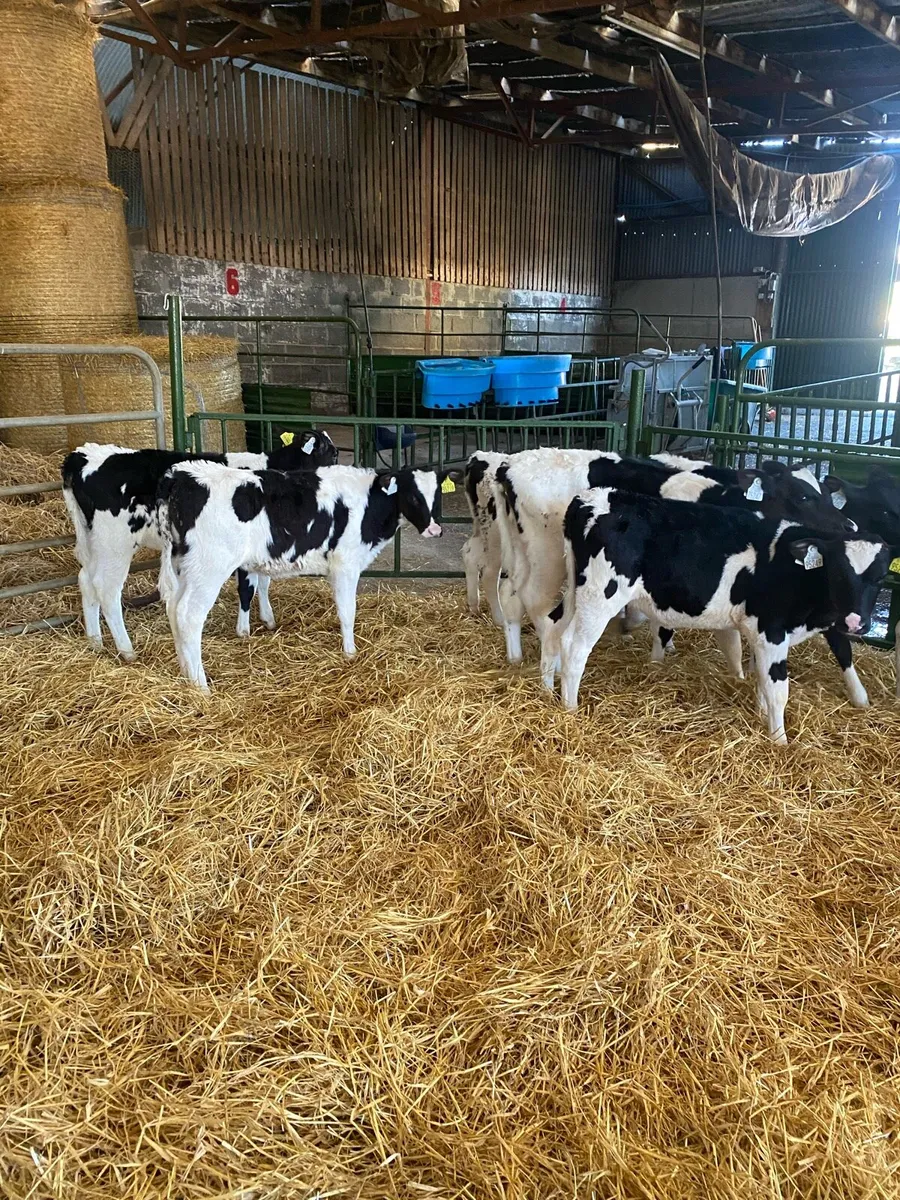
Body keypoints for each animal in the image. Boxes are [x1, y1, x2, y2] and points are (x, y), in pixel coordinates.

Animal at [61, 431, 339, 661]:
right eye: (330, 451)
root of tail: (82, 455)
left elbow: (263, 582)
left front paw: (268, 619)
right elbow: (247, 587)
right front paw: (244, 630)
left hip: (93, 540)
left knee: (86, 580)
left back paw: (95, 643)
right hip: (115, 542)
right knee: (107, 589)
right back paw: (127, 650)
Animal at [158, 462, 442, 690]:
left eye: (437, 494)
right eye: (413, 497)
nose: (435, 529)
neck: (370, 505)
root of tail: (181, 475)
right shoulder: (346, 564)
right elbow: (347, 611)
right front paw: (350, 653)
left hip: (185, 566)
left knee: (173, 609)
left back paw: (185, 672)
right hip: (209, 568)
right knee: (188, 615)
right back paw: (200, 685)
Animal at [550, 489, 888, 743]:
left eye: (881, 576)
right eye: (838, 572)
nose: (857, 623)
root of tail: (590, 498)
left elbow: (760, 680)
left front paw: (762, 716)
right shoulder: (771, 632)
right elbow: (777, 689)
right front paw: (780, 742)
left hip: (577, 592)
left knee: (554, 627)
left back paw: (548, 687)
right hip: (600, 596)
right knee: (573, 647)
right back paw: (570, 709)